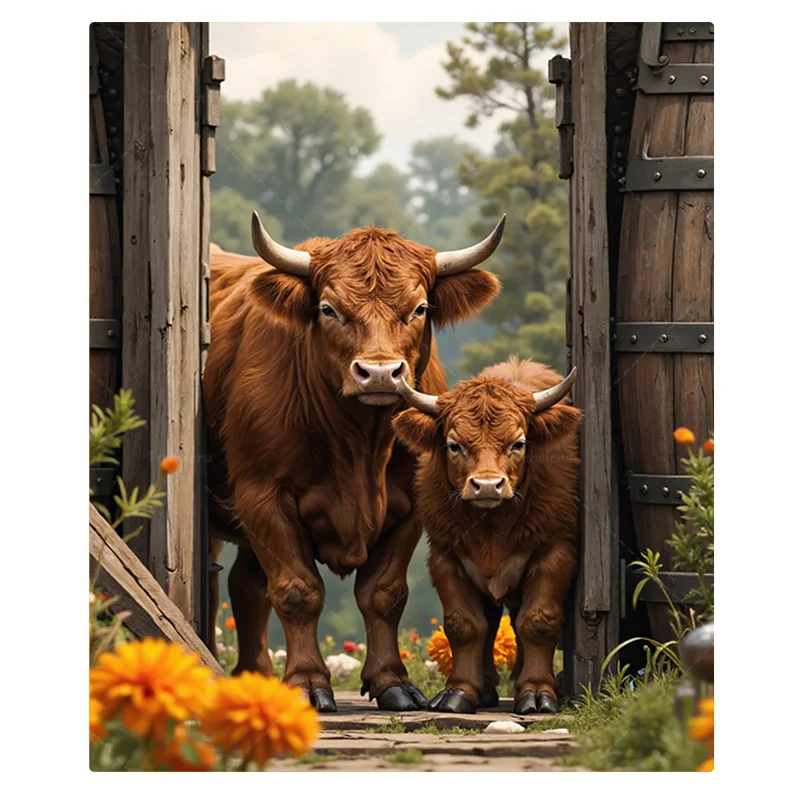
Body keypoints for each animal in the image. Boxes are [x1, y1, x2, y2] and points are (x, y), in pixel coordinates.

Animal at [203, 211, 505, 713]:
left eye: (419, 308)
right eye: (328, 309)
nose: (380, 372)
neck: (361, 446)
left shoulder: (409, 506)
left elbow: (384, 594)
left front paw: (392, 683)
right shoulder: (262, 496)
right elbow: (297, 591)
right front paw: (307, 683)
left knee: (246, 587)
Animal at [391, 357, 580, 714]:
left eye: (518, 443)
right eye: (454, 445)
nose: (488, 485)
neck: (492, 529)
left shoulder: (555, 551)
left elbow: (538, 621)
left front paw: (536, 692)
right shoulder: (446, 556)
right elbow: (464, 625)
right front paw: (460, 692)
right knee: (491, 622)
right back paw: (487, 688)